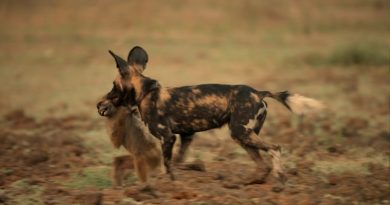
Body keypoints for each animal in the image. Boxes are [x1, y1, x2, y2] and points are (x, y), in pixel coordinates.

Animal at [102, 46, 324, 191]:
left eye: (113, 86)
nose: (100, 104)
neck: (146, 93)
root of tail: (258, 92)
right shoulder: (186, 136)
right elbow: (178, 162)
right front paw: (194, 169)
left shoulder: (168, 138)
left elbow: (168, 166)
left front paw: (170, 186)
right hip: (243, 136)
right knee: (263, 165)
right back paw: (245, 184)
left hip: (241, 132)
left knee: (275, 149)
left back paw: (280, 181)